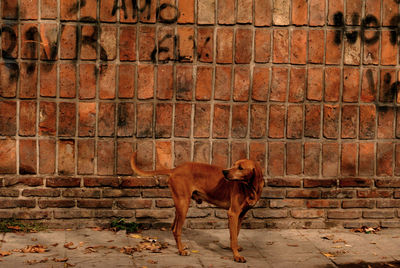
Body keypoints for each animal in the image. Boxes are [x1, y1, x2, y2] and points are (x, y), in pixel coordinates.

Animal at [130, 153, 264, 262]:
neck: (249, 188)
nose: (224, 172)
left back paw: (181, 246)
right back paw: (181, 251)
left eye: (240, 168)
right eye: (234, 165)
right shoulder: (233, 213)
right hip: (183, 205)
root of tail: (175, 169)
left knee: (173, 227)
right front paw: (236, 256)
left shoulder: (240, 215)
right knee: (176, 229)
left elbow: (235, 234)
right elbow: (234, 237)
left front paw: (235, 249)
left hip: (180, 206)